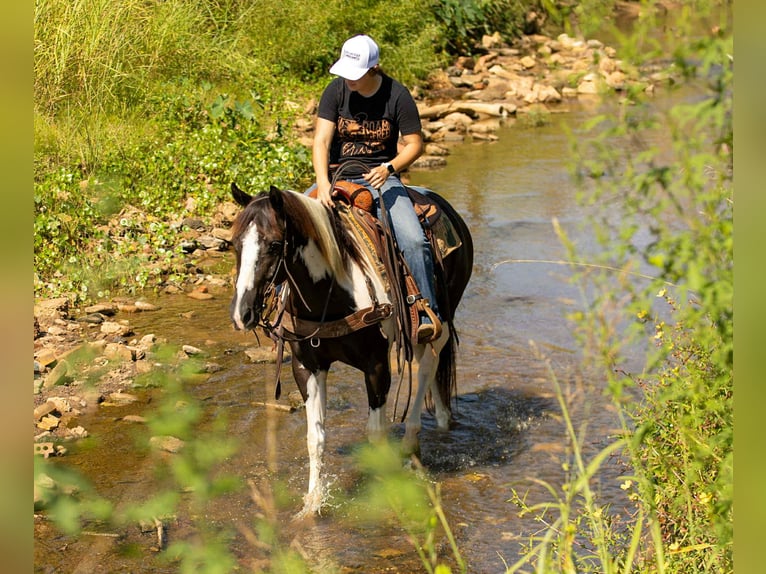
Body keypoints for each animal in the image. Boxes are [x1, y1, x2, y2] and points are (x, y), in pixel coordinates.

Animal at [228, 182, 473, 516]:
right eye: (234, 244)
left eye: (276, 244)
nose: (242, 314)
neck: (331, 293)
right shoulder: (307, 367)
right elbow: (315, 437)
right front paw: (312, 504)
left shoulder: (376, 366)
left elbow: (376, 433)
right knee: (433, 372)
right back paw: (441, 422)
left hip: (441, 322)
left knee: (426, 369)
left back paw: (411, 446)